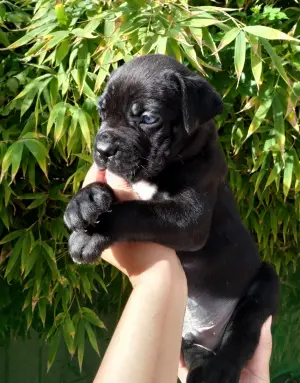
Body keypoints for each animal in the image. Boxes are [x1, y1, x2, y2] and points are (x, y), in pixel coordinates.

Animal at [64, 54, 280, 383]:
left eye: (147, 118)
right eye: (102, 112)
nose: (102, 149)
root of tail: (204, 334)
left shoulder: (189, 219)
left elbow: (139, 211)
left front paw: (92, 234)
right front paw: (84, 200)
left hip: (266, 282)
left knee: (244, 329)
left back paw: (218, 371)